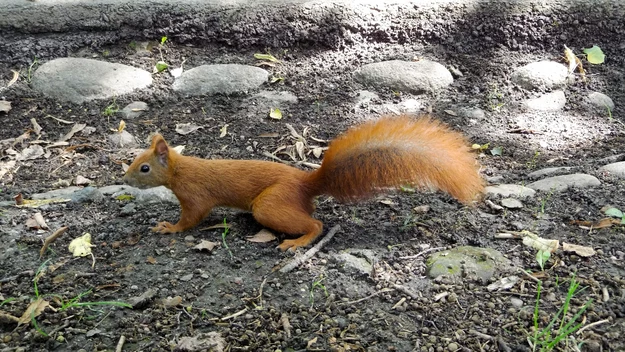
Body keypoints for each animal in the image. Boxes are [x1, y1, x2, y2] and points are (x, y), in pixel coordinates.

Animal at [122, 115, 482, 250]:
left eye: (143, 168)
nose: (123, 179)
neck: (180, 170)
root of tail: (305, 183)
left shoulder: (195, 196)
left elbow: (191, 218)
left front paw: (169, 227)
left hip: (269, 205)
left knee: (316, 224)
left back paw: (296, 243)